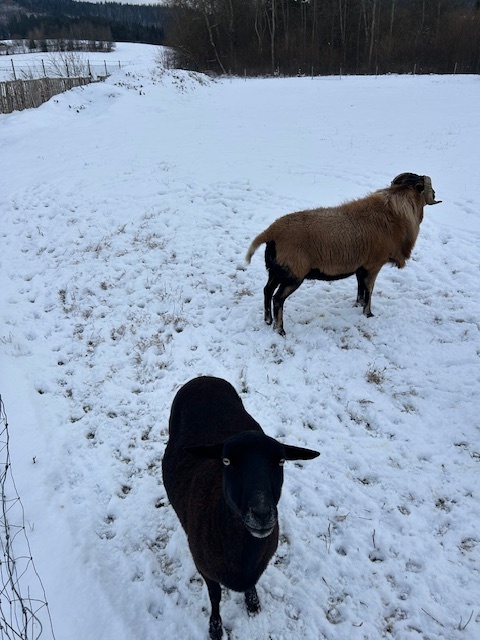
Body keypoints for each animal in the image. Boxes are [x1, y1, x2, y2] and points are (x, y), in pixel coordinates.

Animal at [162, 378, 322, 636]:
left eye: (281, 461)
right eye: (227, 461)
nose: (262, 513)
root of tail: (204, 378)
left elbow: (252, 584)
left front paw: (253, 603)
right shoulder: (205, 570)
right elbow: (215, 597)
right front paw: (215, 628)